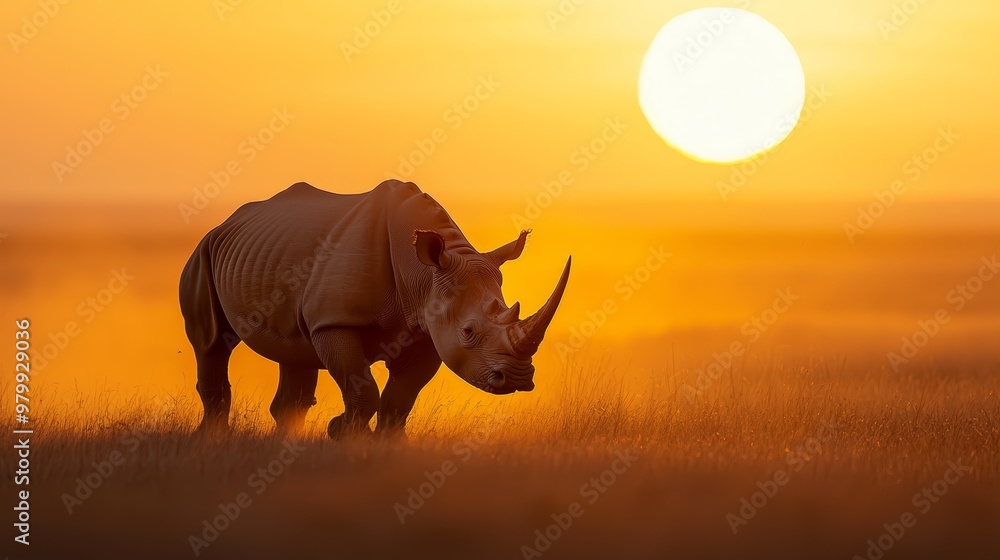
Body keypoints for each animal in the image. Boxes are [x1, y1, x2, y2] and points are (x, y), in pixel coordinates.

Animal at [179, 180, 570, 437]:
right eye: (468, 331)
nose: (517, 379)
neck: (424, 274)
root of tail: (227, 222)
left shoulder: (427, 330)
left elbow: (400, 400)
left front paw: (387, 447)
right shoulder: (334, 322)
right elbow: (363, 389)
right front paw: (343, 434)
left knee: (293, 351)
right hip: (203, 253)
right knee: (212, 342)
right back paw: (211, 439)